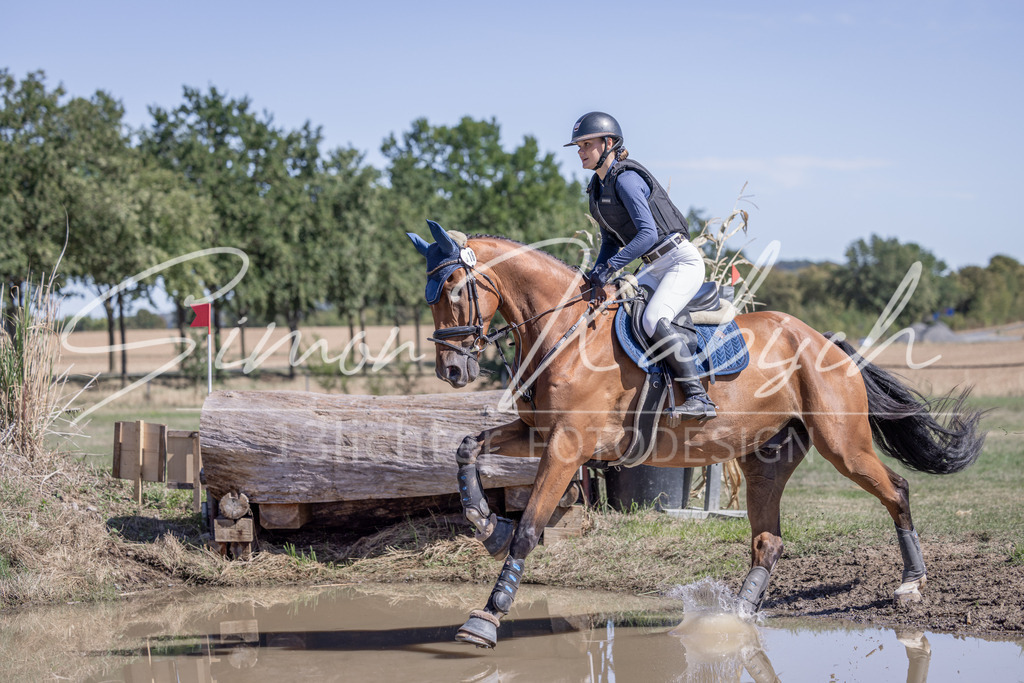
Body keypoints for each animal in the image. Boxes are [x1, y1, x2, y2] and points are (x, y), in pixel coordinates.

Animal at [406, 221, 985, 649]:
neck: (564, 334)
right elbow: (466, 448)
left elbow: (530, 528)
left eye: (454, 290)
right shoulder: (537, 434)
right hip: (763, 458)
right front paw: (486, 525)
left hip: (842, 446)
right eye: (429, 295)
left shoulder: (568, 447)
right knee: (768, 540)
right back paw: (736, 617)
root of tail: (825, 342)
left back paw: (912, 583)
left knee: (896, 490)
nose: (451, 372)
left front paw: (486, 619)